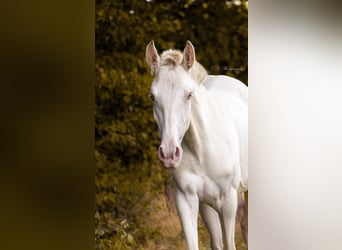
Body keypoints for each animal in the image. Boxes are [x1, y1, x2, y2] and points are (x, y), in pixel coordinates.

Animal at [146, 40, 247, 249]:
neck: (202, 150)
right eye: (152, 96)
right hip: (207, 206)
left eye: (189, 94)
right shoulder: (186, 200)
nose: (169, 154)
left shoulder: (228, 202)